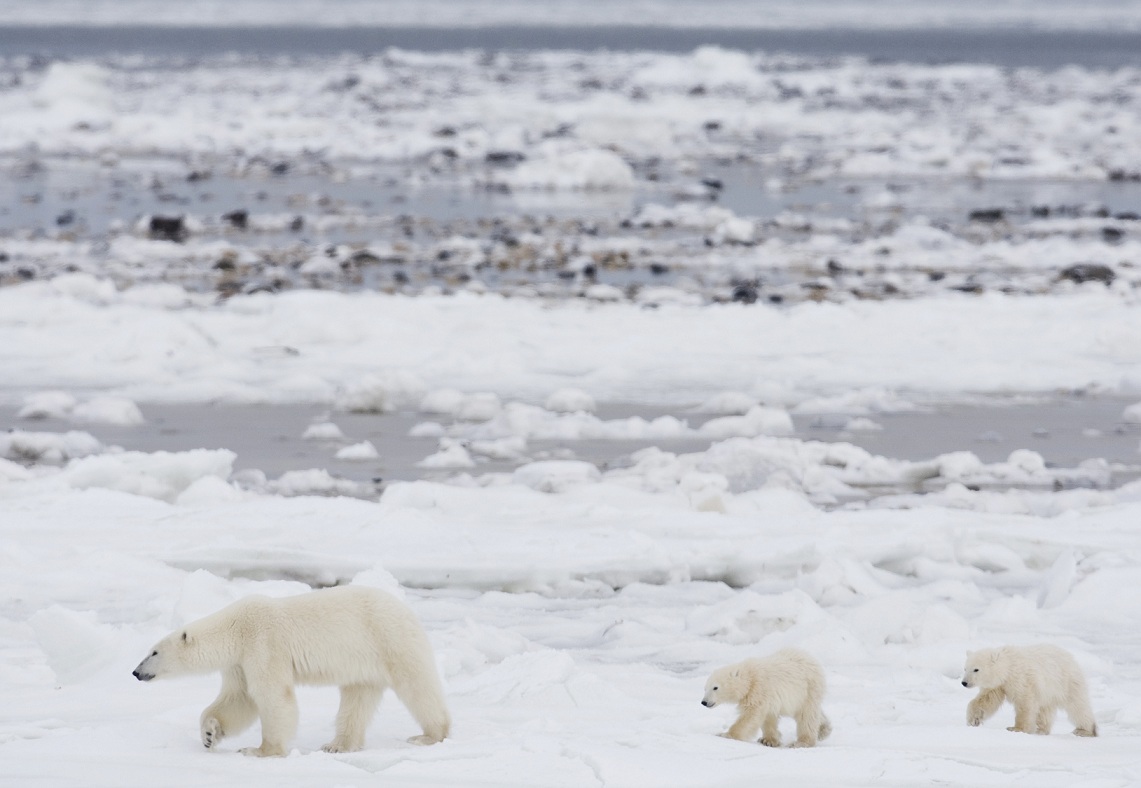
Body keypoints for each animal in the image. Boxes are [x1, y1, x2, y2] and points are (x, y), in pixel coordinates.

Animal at [133, 585, 451, 757]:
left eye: (153, 652)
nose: (136, 672)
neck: (236, 628)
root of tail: (407, 610)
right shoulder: (239, 662)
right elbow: (239, 699)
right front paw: (210, 733)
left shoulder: (263, 644)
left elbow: (271, 695)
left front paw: (260, 750)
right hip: (363, 663)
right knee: (357, 699)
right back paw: (338, 745)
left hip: (390, 640)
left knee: (417, 687)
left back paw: (430, 735)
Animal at [701, 647, 832, 747]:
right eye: (705, 688)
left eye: (715, 687)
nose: (704, 702)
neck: (750, 677)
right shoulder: (768, 698)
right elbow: (768, 717)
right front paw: (768, 740)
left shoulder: (759, 689)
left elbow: (750, 715)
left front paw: (725, 734)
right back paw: (824, 730)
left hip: (807, 689)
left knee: (806, 715)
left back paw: (801, 742)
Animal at [961, 644, 1097, 737]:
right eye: (965, 668)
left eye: (976, 669)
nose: (964, 682)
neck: (1008, 667)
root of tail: (1071, 657)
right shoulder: (998, 685)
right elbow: (986, 700)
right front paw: (973, 720)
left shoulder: (1021, 679)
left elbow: (1025, 703)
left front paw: (1017, 728)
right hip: (1049, 693)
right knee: (1045, 710)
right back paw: (1041, 730)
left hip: (1066, 682)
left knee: (1077, 706)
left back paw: (1084, 730)